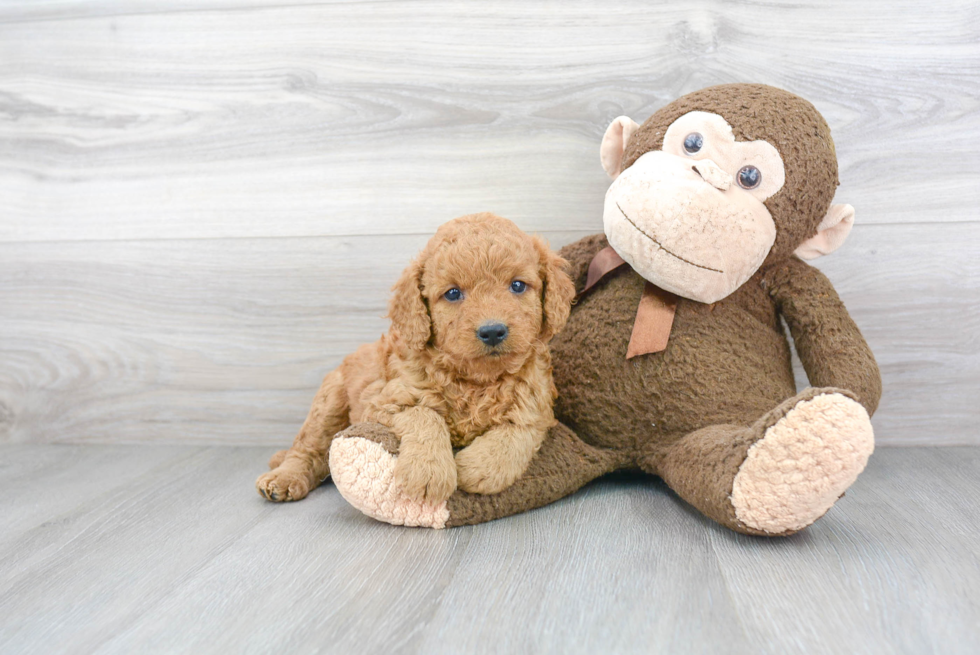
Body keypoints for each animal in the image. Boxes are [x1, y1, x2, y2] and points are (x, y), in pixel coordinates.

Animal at [256, 215, 576, 508]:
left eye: (518, 286)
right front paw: (428, 473)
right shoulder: (383, 402)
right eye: (453, 293)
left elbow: (517, 432)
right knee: (307, 448)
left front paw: (478, 468)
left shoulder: (536, 407)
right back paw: (283, 478)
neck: (475, 381)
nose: (493, 331)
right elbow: (424, 415)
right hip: (329, 402)